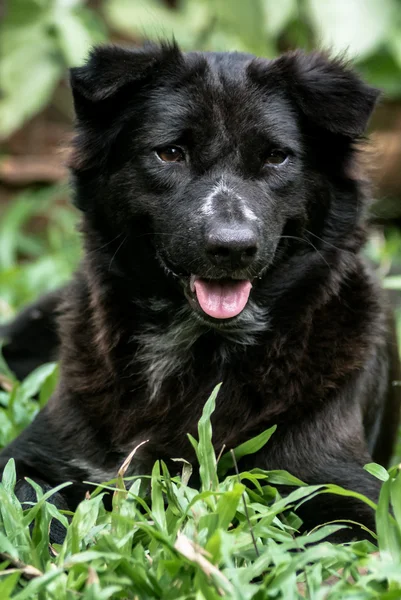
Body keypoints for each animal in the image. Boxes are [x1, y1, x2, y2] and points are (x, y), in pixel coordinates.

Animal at [0, 42, 400, 540]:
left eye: (276, 157)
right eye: (171, 153)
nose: (232, 248)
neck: (199, 349)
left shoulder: (347, 492)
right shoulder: (35, 457)